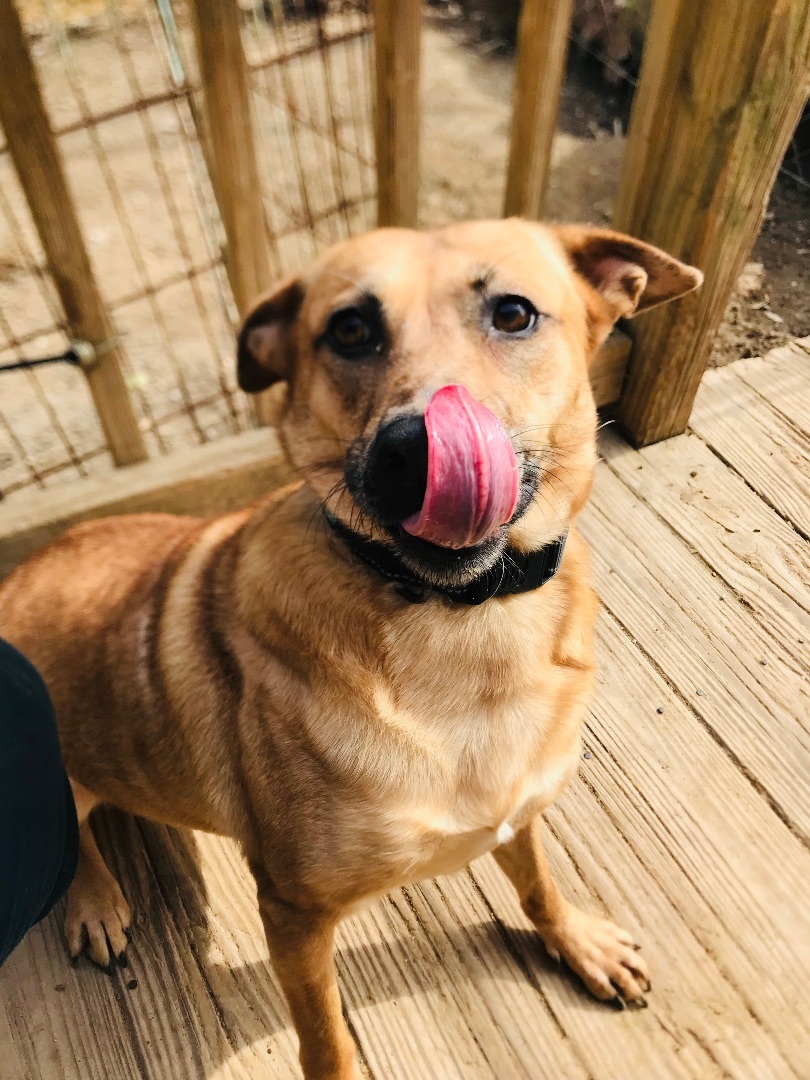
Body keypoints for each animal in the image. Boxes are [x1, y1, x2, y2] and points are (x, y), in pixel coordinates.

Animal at [0, 221, 699, 1080]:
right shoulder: (295, 914)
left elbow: (537, 882)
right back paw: (96, 904)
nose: (418, 452)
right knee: (75, 838)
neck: (463, 621)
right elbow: (326, 1041)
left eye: (513, 314)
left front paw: (577, 941)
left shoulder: (519, 810)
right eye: (350, 330)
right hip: (62, 776)